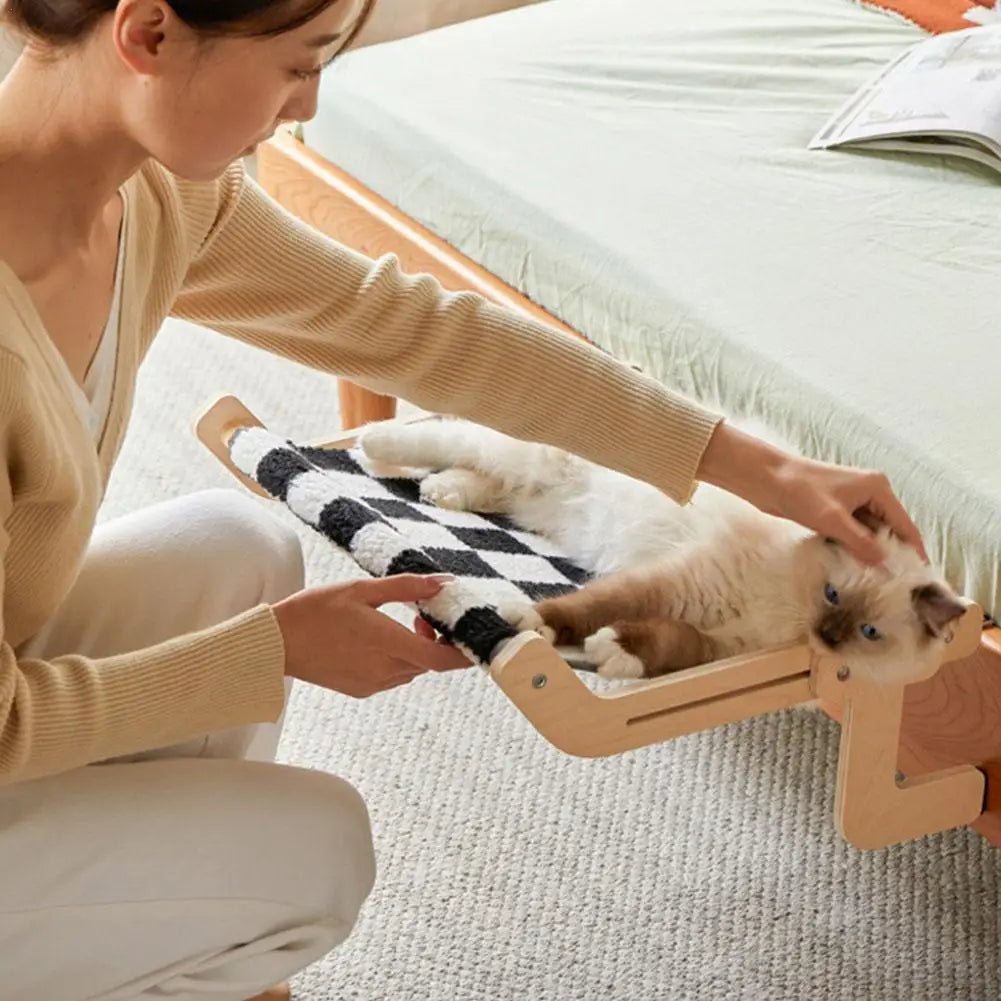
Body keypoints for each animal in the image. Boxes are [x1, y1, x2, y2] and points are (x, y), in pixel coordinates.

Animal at [358, 416, 960, 688]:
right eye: (831, 594)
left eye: (869, 633)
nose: (828, 637)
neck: (786, 615)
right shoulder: (676, 581)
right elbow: (591, 607)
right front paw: (538, 623)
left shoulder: (717, 646)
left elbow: (667, 644)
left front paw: (616, 654)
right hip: (525, 459)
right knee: (445, 435)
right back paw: (374, 444)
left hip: (531, 498)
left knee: (479, 477)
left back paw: (440, 492)